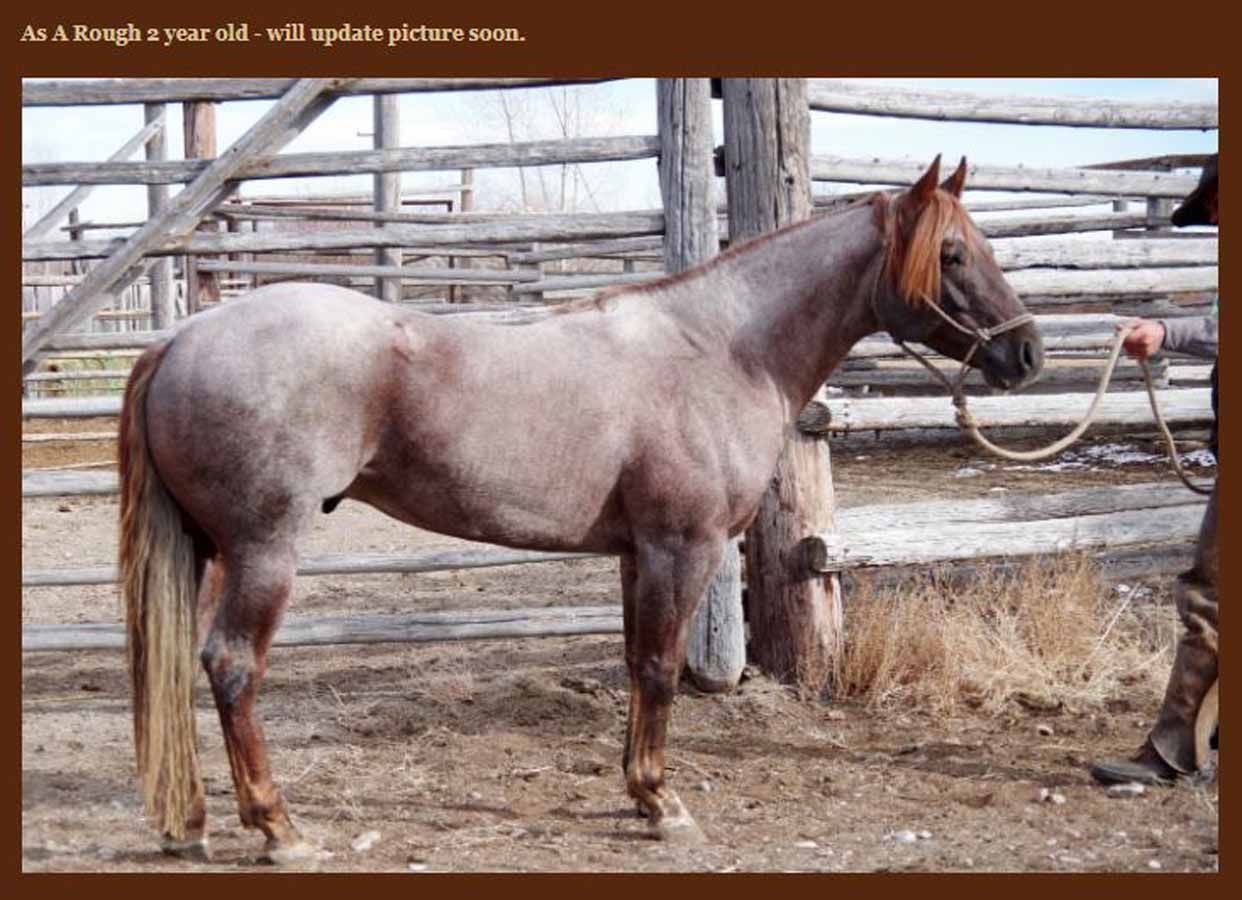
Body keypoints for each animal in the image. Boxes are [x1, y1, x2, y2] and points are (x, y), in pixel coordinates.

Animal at [118, 156, 1043, 863]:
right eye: (953, 253)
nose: (1026, 353)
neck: (721, 349)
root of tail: (180, 339)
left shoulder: (638, 554)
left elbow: (637, 665)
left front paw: (638, 793)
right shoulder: (682, 547)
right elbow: (663, 671)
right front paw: (664, 806)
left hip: (207, 550)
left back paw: (192, 822)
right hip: (264, 550)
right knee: (232, 666)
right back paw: (279, 829)